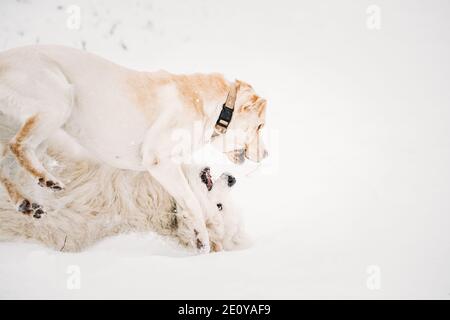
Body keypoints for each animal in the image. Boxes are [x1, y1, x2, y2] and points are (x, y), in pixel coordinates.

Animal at [0, 45, 268, 252]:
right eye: (260, 126)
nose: (266, 155)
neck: (219, 109)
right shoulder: (159, 161)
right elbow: (192, 201)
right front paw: (201, 237)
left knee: (7, 161)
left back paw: (26, 201)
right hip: (59, 102)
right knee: (17, 145)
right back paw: (44, 180)